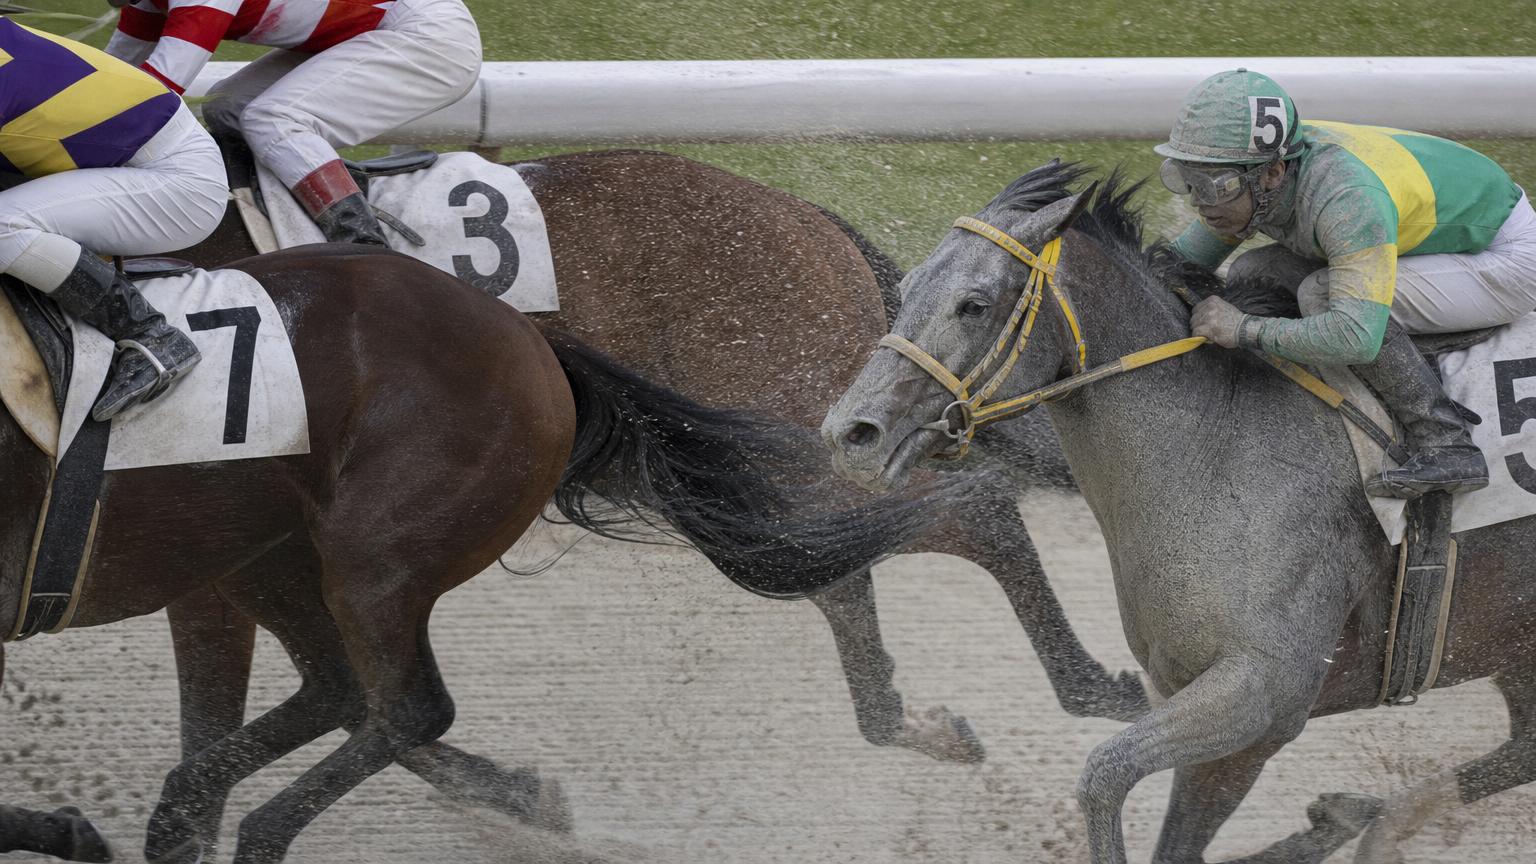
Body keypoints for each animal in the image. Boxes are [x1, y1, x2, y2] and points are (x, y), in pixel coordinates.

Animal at [1, 244, 950, 863]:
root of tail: (532, 341)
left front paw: (67, 828)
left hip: (372, 558)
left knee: (407, 706)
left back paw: (253, 830)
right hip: (257, 551)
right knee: (343, 690)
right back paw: (181, 812)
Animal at [155, 149, 1147, 794]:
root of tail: (799, 213)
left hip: (804, 420)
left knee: (969, 514)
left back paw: (1092, 686)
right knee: (838, 567)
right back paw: (906, 720)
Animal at [821, 161, 1536, 864]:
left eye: (974, 303)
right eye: (906, 286)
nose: (851, 432)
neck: (1217, 446)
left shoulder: (1258, 700)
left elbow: (1105, 775)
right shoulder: (1190, 692)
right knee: (1519, 753)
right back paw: (1367, 822)